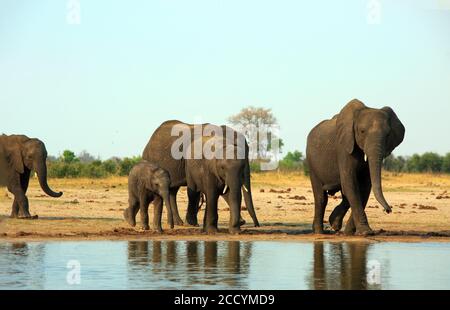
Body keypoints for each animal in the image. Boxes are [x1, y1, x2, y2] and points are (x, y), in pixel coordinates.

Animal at [308, 99, 406, 235]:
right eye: (362, 131)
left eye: (388, 135)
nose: (388, 210)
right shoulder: (344, 147)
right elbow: (350, 183)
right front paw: (366, 232)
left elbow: (364, 187)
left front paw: (350, 232)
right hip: (312, 163)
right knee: (321, 197)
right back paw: (319, 232)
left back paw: (335, 224)